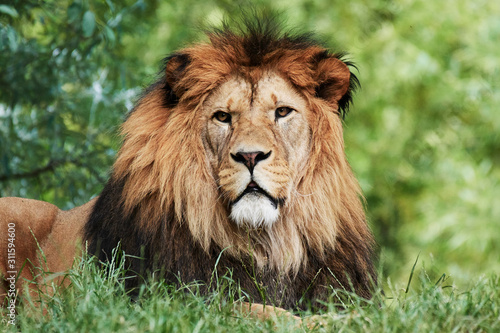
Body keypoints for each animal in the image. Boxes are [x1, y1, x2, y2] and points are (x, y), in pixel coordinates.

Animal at [0, 18, 376, 312]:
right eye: (223, 117)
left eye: (282, 112)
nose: (250, 156)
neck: (266, 244)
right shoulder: (166, 297)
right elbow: (253, 309)